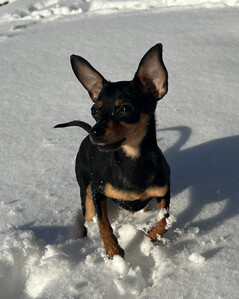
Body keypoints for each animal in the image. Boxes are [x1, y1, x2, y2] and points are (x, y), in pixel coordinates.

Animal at [54, 43, 170, 258]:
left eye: (125, 108)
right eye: (94, 110)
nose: (95, 131)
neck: (132, 160)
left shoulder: (163, 192)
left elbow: (165, 220)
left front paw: (148, 239)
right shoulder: (98, 191)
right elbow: (103, 224)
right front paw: (114, 251)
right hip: (85, 190)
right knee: (89, 218)